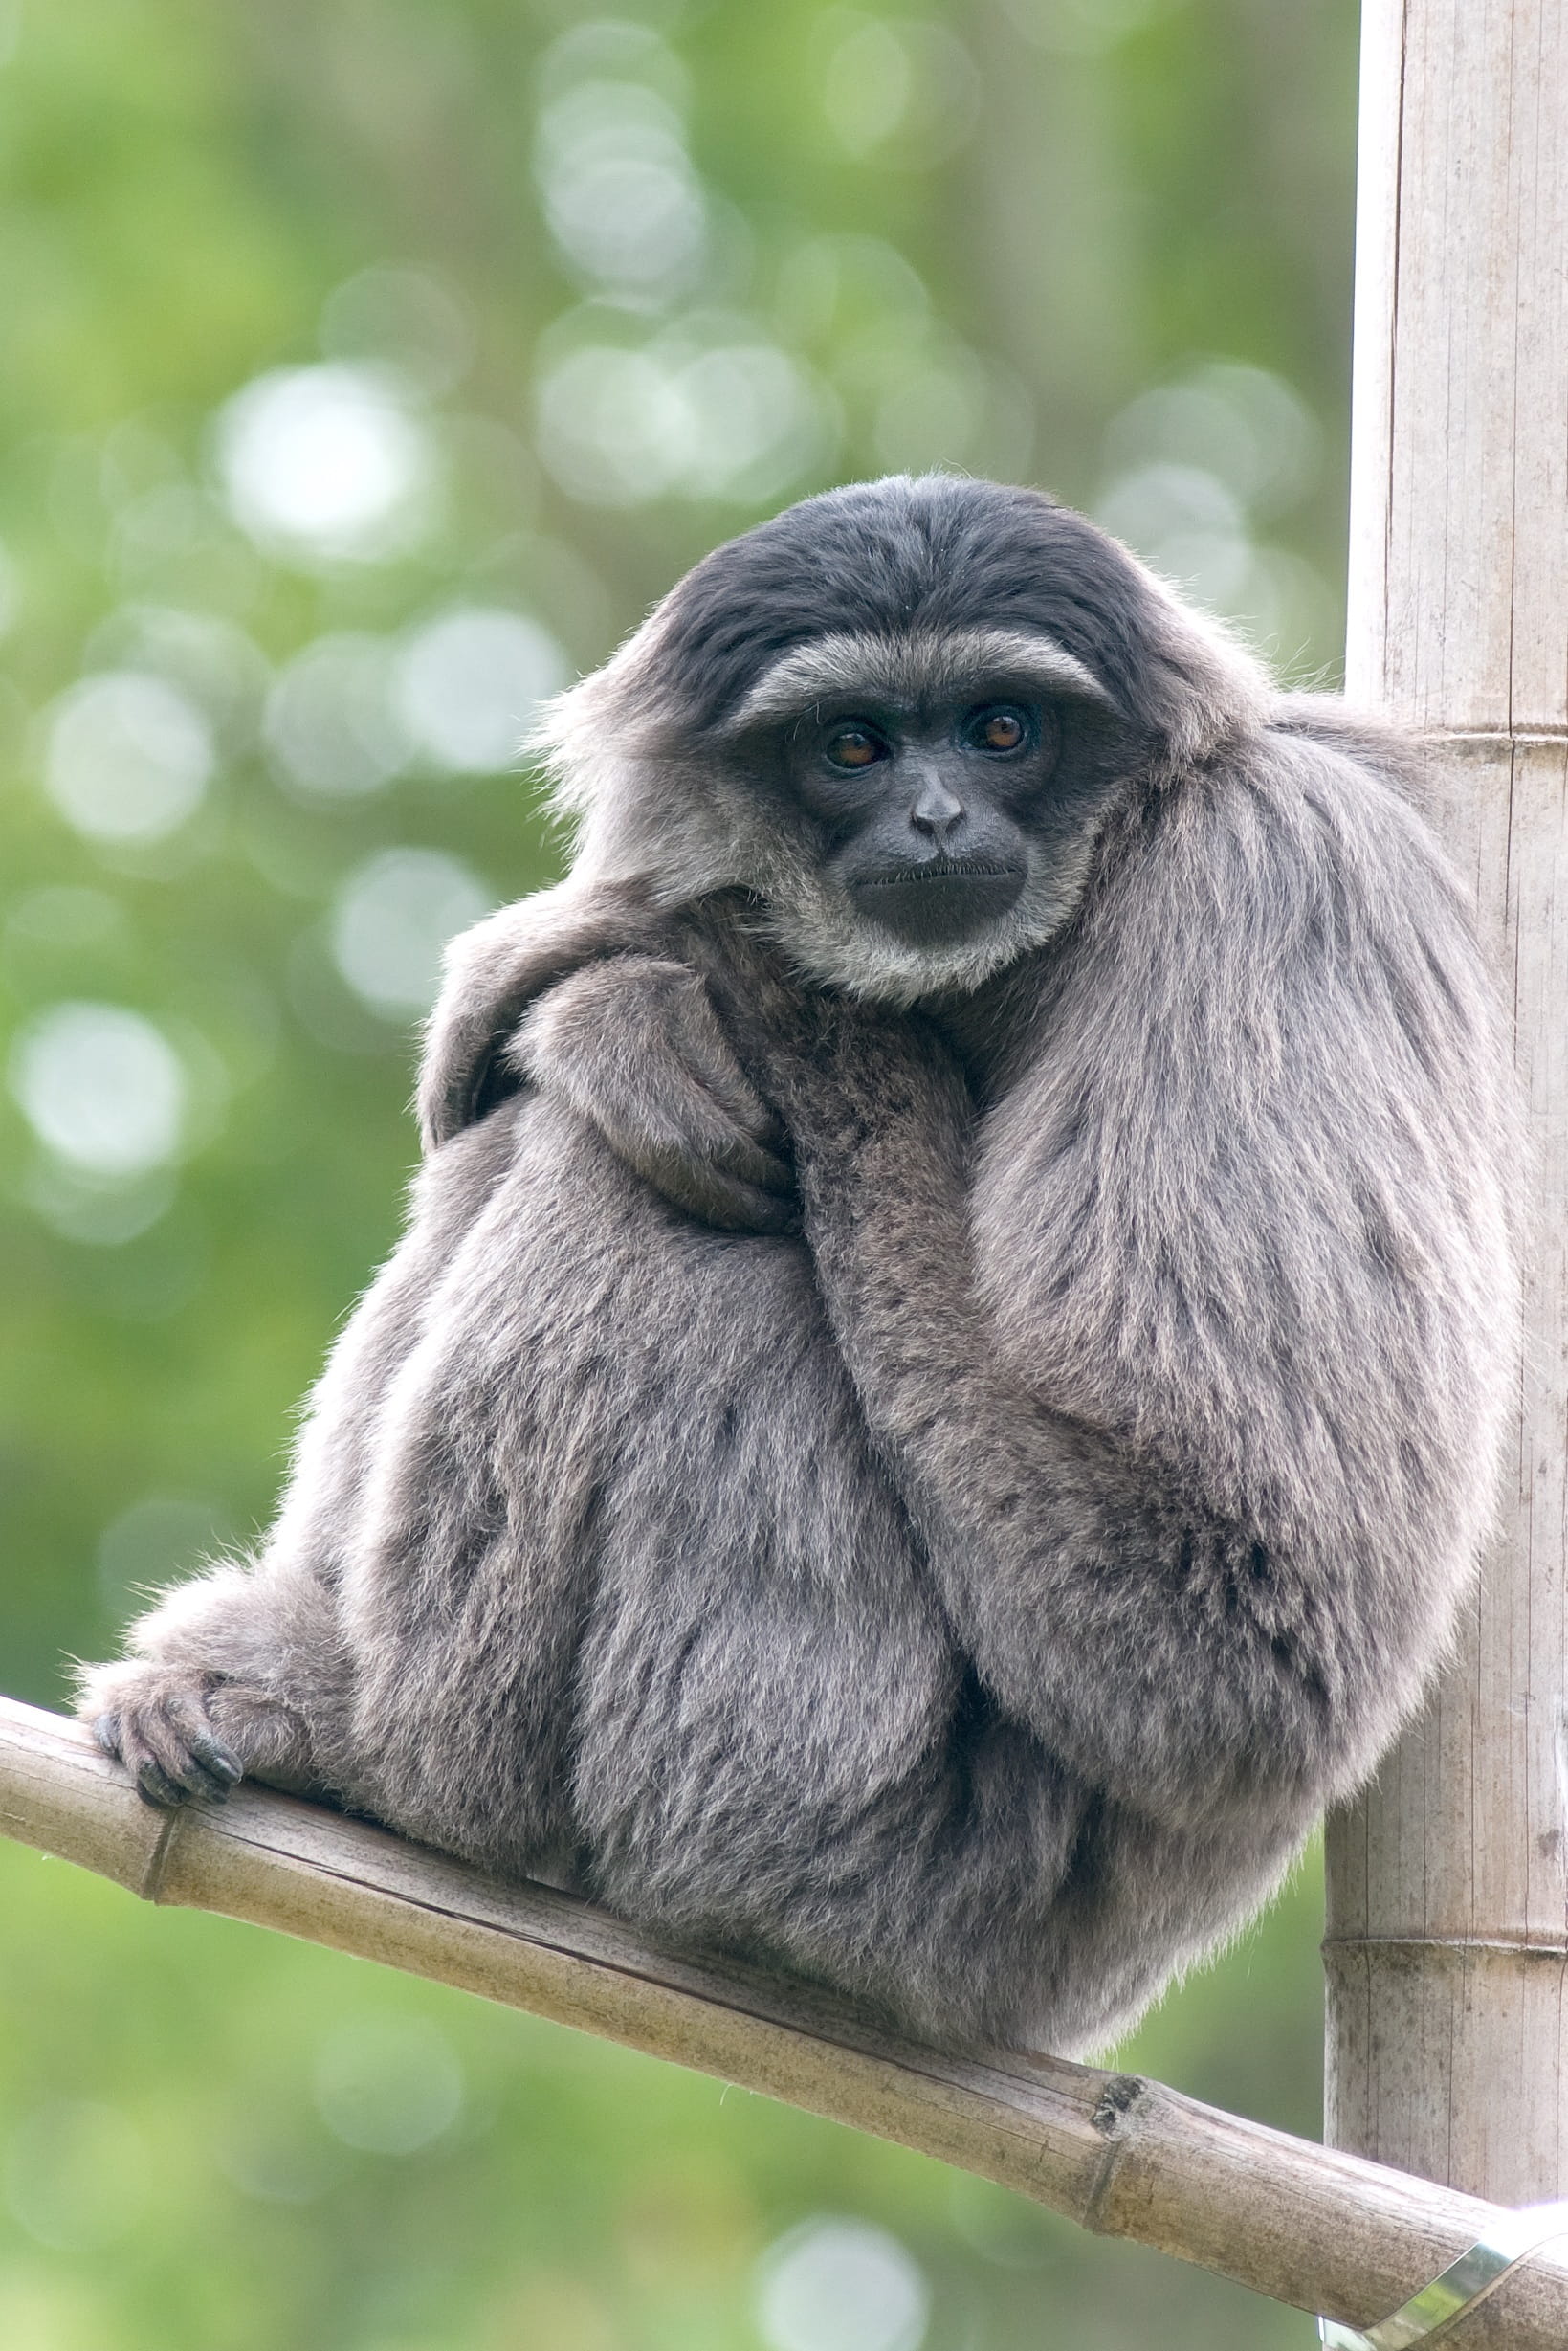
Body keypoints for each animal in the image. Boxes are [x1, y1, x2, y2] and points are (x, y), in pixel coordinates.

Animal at [77, 475, 1522, 2057]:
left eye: (1000, 729)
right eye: (851, 746)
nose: (935, 813)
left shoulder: (1278, 875)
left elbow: (1236, 1642)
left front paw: (673, 958)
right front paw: (603, 967)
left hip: (833, 1808)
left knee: (641, 1197)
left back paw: (390, 1754)